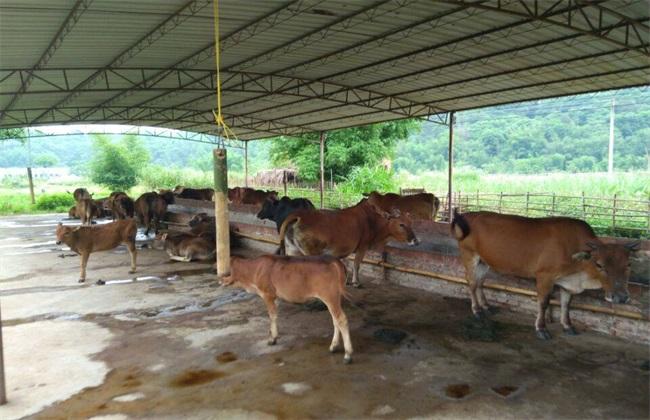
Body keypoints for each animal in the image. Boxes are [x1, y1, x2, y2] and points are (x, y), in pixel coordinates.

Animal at [220, 254, 352, 362]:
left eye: (227, 270)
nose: (220, 280)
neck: (255, 268)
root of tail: (334, 260)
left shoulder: (267, 294)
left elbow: (272, 316)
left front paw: (272, 339)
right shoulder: (275, 297)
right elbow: (274, 316)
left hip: (329, 296)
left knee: (341, 319)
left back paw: (348, 354)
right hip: (334, 298)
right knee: (335, 320)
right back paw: (333, 346)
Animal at [276, 199, 418, 288]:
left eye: (411, 223)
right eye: (401, 224)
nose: (415, 240)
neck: (374, 221)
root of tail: (299, 216)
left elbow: (346, 264)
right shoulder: (362, 247)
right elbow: (356, 265)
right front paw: (356, 282)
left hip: (292, 250)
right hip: (311, 253)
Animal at [448, 208, 636, 340]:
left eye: (628, 264)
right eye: (599, 265)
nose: (621, 297)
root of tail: (467, 215)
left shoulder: (567, 282)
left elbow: (566, 304)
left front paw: (568, 326)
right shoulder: (545, 276)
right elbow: (543, 303)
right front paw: (541, 329)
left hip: (484, 261)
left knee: (480, 282)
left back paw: (487, 306)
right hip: (470, 256)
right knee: (472, 283)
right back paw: (477, 310)